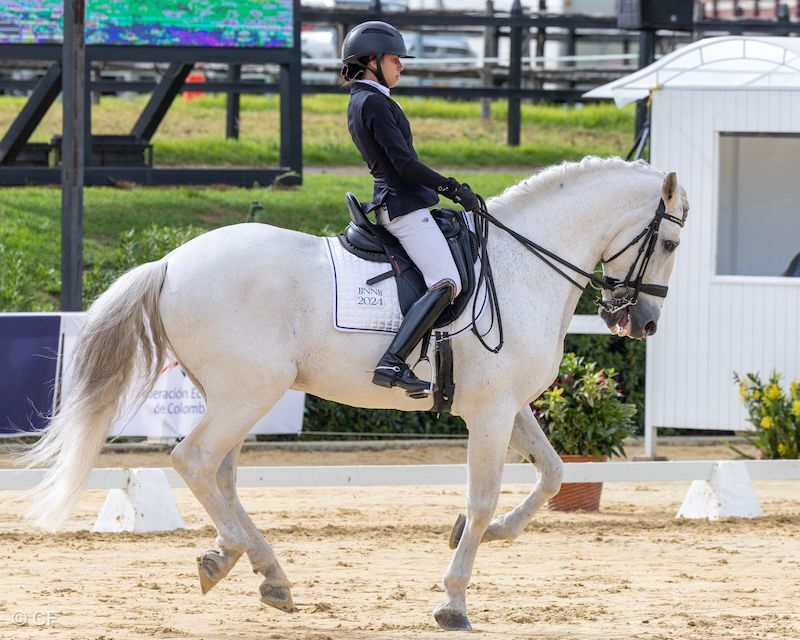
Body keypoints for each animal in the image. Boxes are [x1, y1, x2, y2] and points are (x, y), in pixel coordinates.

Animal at [23, 156, 688, 632]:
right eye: (672, 244)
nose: (646, 324)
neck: (521, 266)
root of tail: (170, 263)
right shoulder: (492, 412)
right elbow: (481, 498)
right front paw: (453, 602)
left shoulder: (508, 405)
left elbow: (552, 475)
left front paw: (486, 534)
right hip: (248, 391)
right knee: (195, 460)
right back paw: (236, 557)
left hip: (235, 393)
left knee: (221, 475)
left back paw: (263, 573)